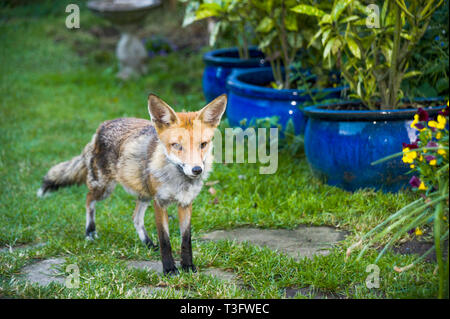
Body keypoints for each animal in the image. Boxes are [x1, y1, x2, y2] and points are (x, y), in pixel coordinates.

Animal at [37, 94, 229, 276]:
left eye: (203, 144)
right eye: (176, 145)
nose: (197, 170)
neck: (179, 181)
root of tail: (102, 126)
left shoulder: (185, 203)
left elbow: (186, 240)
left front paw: (188, 267)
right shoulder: (159, 203)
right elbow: (165, 240)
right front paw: (169, 269)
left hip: (144, 193)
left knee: (135, 218)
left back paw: (148, 243)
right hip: (105, 188)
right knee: (88, 199)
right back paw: (90, 232)